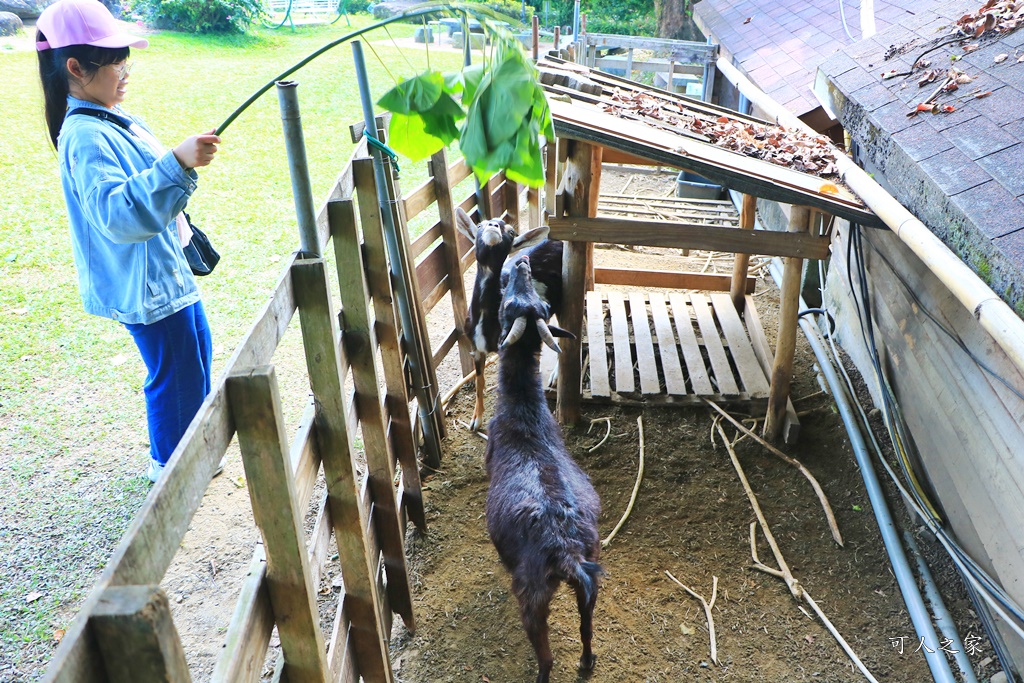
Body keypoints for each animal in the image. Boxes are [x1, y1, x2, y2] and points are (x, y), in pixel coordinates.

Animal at [456, 209, 548, 432]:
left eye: (512, 232)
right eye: (479, 225)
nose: (493, 226)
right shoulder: (476, 348)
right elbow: (479, 382)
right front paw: (475, 420)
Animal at [485, 253, 598, 679]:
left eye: (507, 306)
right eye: (541, 305)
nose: (521, 262)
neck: (525, 411)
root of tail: (567, 552)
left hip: (532, 593)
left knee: (546, 655)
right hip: (592, 573)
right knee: (586, 627)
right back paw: (586, 662)